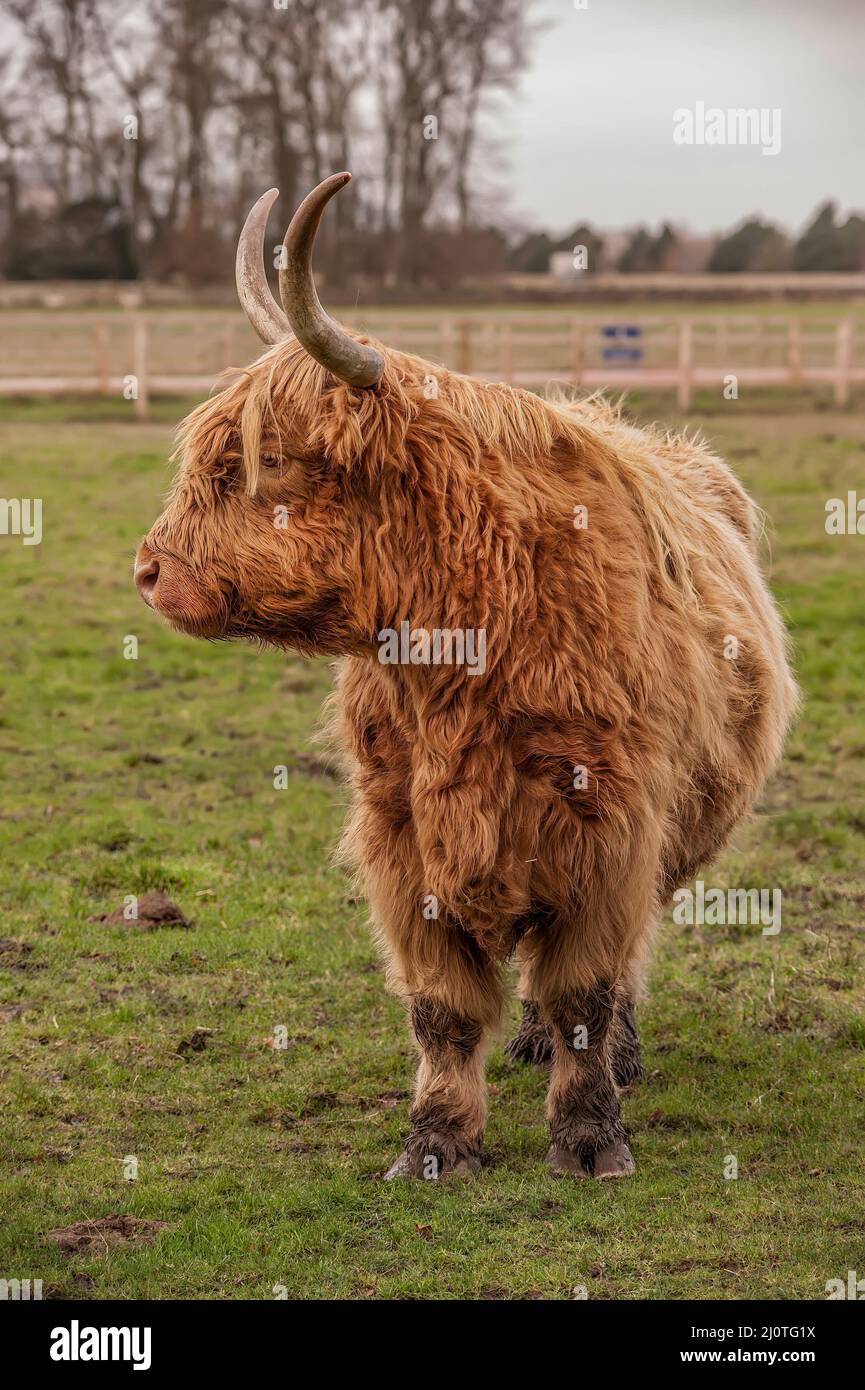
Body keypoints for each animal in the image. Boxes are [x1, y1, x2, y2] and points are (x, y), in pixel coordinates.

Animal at [134, 173, 798, 1181]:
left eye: (269, 459)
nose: (149, 571)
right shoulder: (402, 833)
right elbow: (440, 1008)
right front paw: (437, 1141)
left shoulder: (606, 824)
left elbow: (584, 991)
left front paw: (589, 1137)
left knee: (621, 963)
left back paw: (615, 1055)